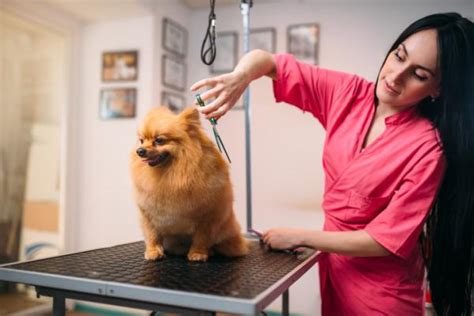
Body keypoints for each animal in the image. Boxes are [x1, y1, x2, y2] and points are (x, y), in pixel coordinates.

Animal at [130, 106, 248, 262]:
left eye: (159, 140)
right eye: (142, 140)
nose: (140, 151)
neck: (172, 174)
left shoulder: (207, 216)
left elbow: (201, 238)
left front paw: (198, 253)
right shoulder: (148, 213)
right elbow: (152, 235)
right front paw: (153, 251)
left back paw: (211, 251)